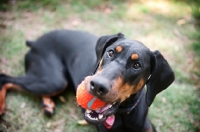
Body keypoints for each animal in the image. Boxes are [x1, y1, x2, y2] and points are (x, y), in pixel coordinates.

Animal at [0, 29, 173, 131]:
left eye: (137, 65)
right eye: (110, 52)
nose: (97, 86)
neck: (123, 116)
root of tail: (35, 42)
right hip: (54, 80)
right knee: (4, 78)